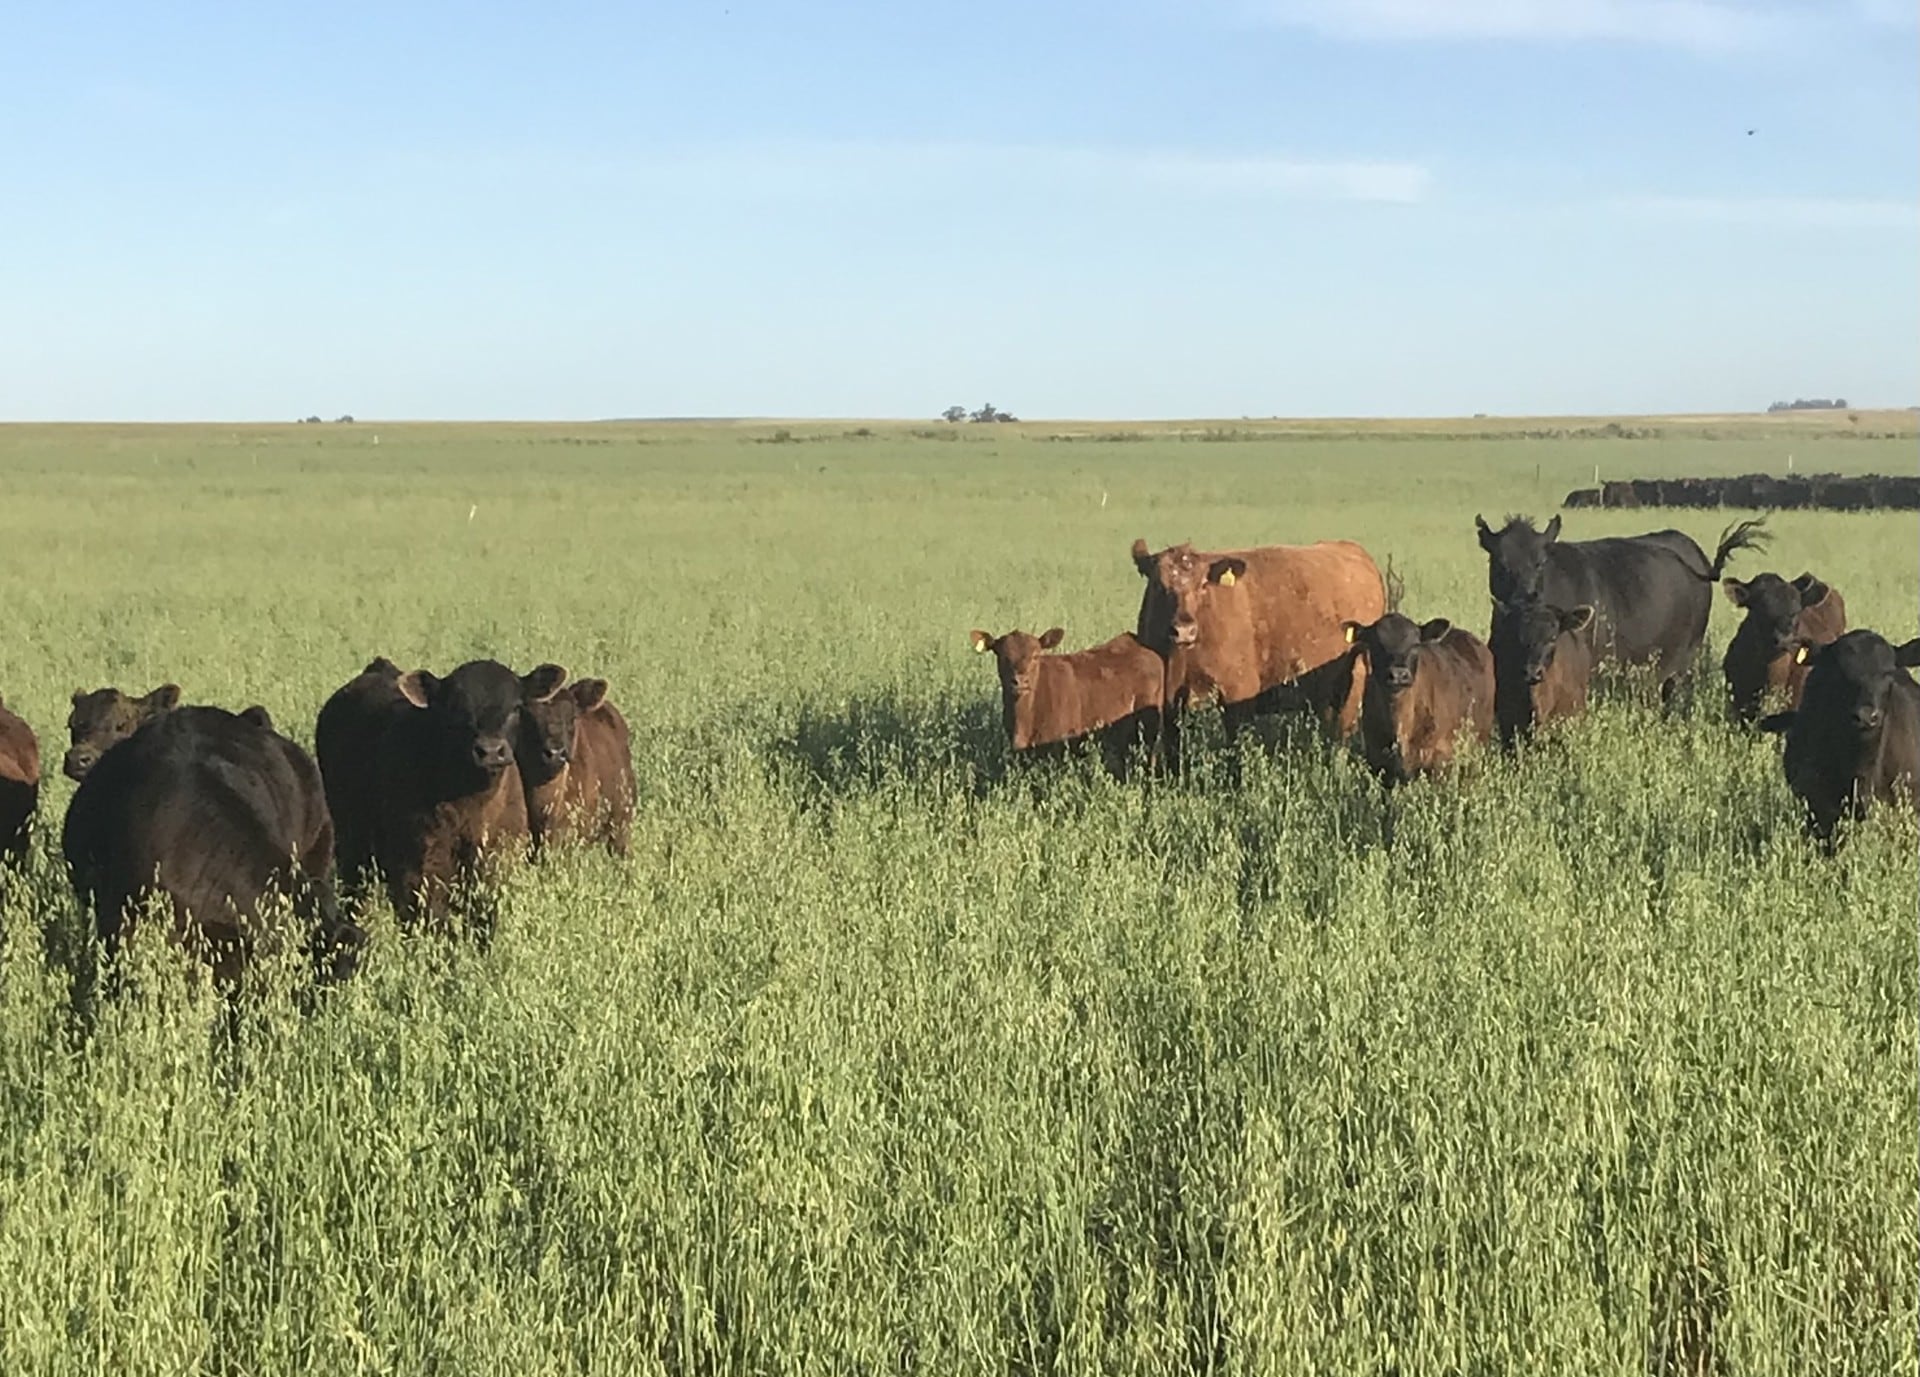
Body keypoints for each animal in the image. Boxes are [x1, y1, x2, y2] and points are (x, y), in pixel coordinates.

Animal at [1131, 537, 1386, 749]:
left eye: (1203, 585)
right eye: (1158, 584)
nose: (1184, 630)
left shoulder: (1239, 692)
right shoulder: (1168, 701)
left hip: (1355, 680)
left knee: (1342, 738)